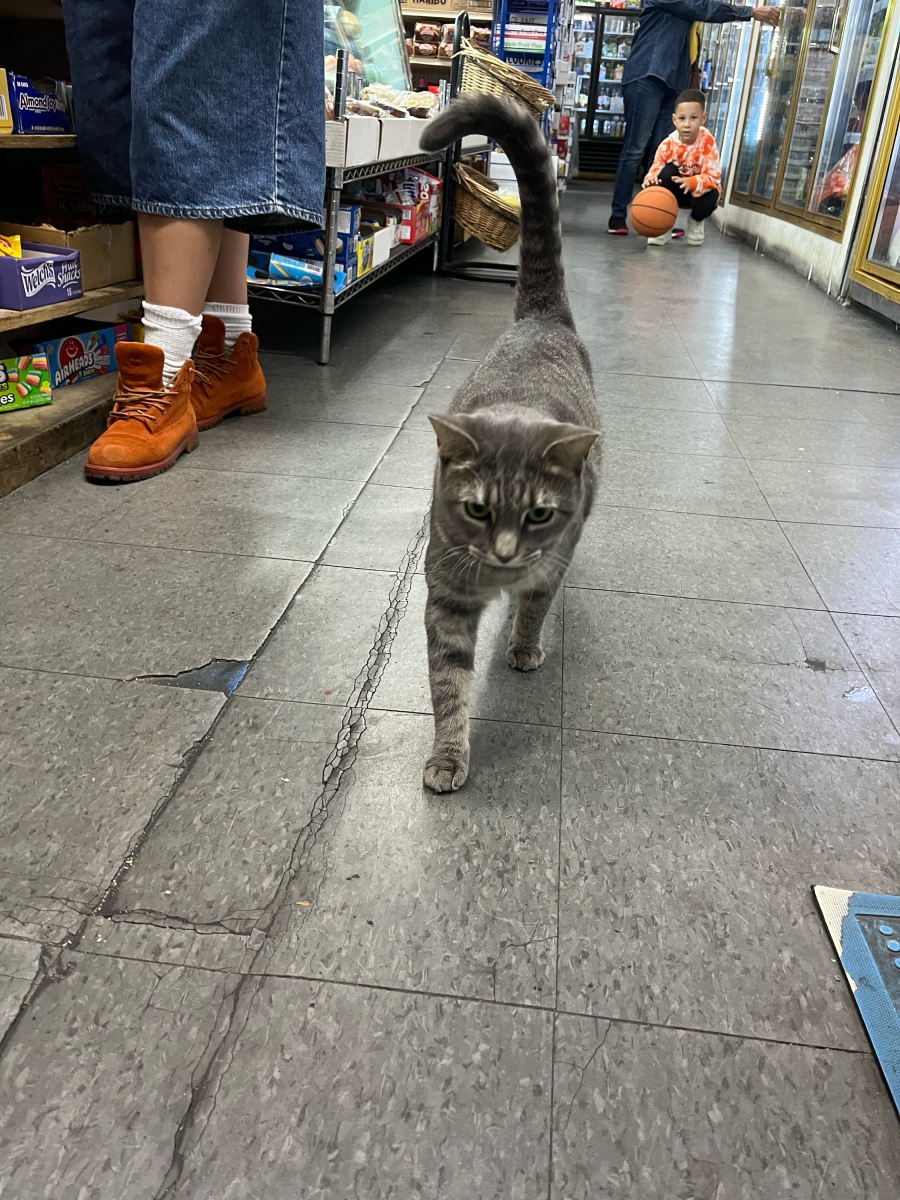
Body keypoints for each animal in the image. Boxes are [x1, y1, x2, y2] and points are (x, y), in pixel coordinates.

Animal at [420, 98, 602, 792]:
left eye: (540, 514)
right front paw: (449, 755)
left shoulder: (554, 557)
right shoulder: (445, 594)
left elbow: (535, 603)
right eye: (476, 508)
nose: (502, 553)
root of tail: (541, 320)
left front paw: (523, 645)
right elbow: (448, 684)